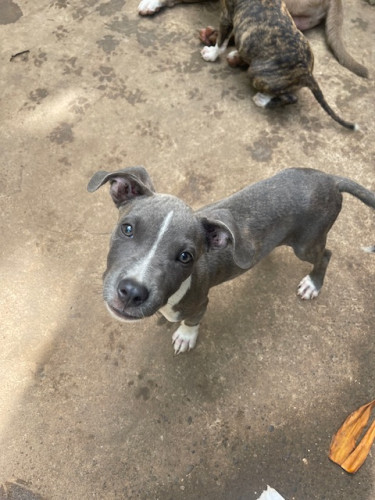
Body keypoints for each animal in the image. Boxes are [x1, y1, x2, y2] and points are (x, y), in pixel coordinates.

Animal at [89, 166, 375, 354]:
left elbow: (191, 321)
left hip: (307, 244)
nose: (131, 292)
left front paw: (185, 336)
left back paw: (313, 284)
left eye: (185, 257)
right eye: (127, 228)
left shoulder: (200, 302)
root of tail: (331, 180)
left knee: (325, 255)